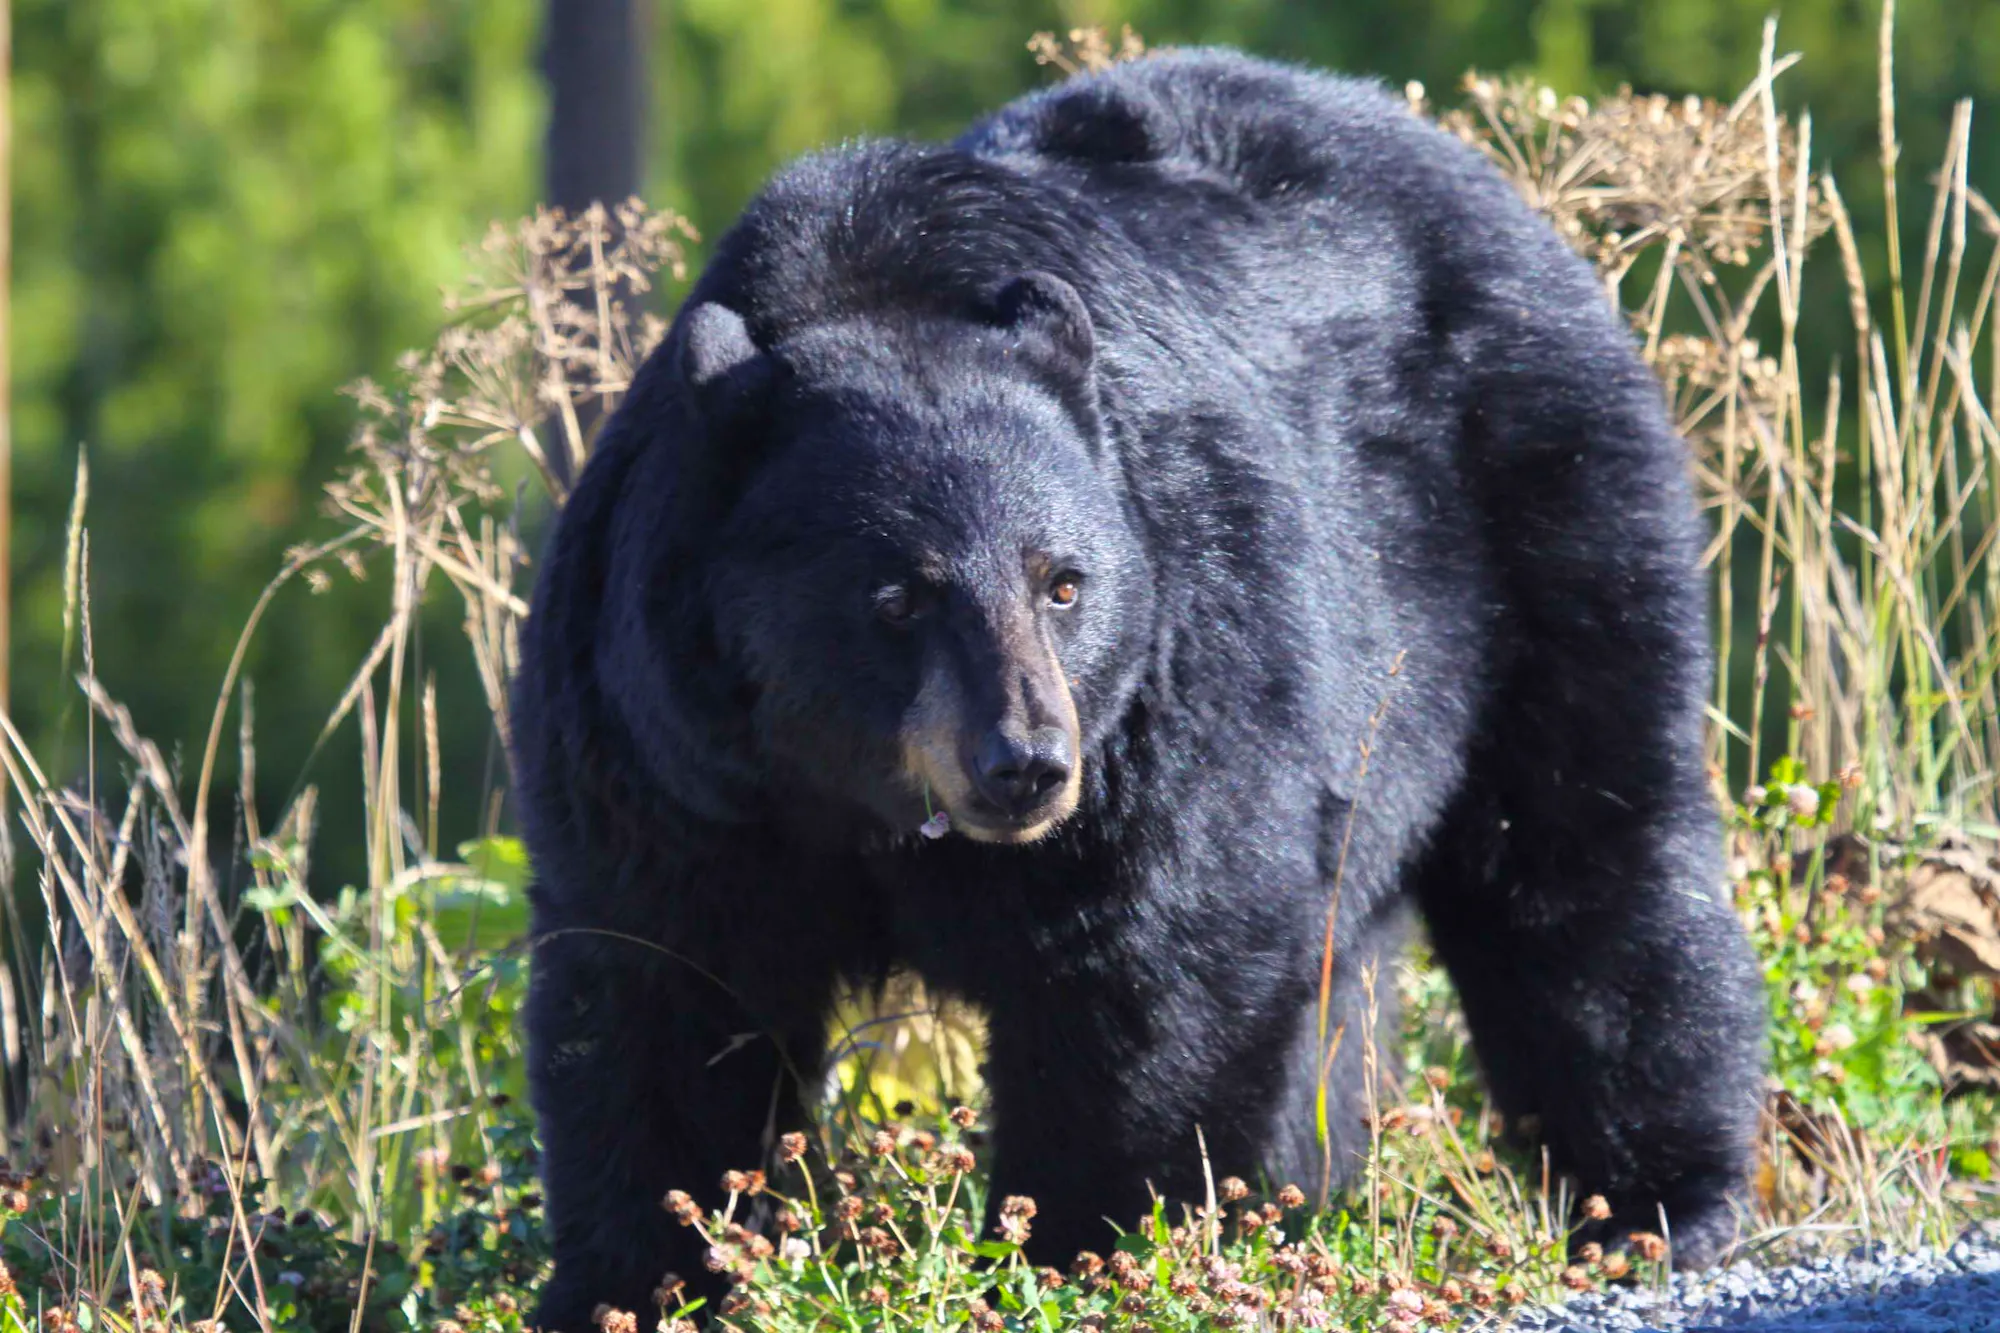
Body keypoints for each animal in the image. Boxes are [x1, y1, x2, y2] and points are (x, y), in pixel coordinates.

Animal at [512, 47, 1767, 1330]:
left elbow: (1153, 968)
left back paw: (1653, 1202)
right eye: (897, 598)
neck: (867, 806)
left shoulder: (1179, 678)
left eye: (1063, 581)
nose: (1024, 764)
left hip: (1550, 513)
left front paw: (1085, 1247)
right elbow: (664, 999)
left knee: (1583, 857)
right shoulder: (665, 751)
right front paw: (637, 1279)